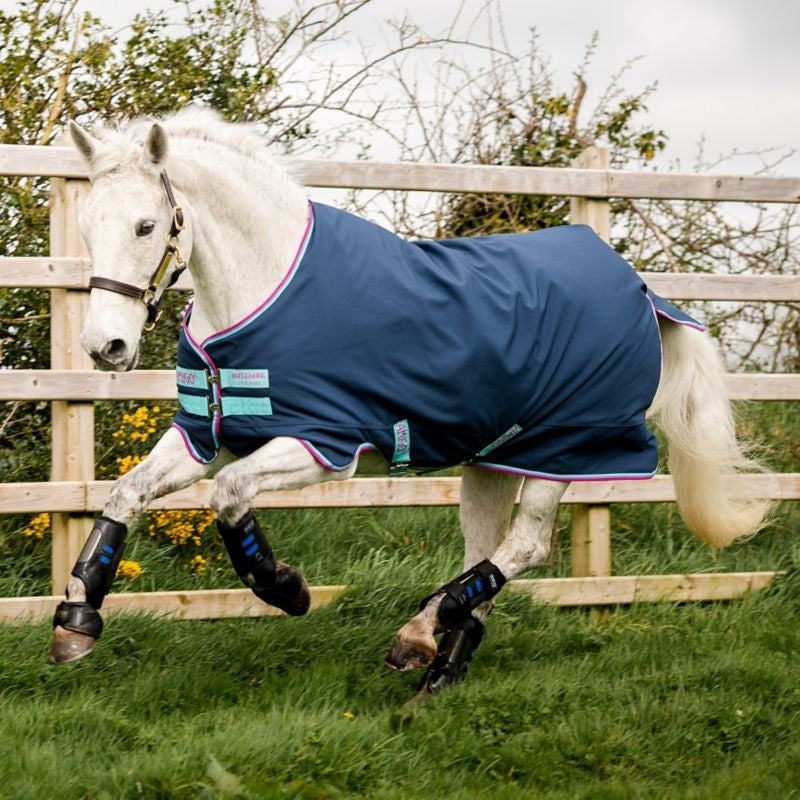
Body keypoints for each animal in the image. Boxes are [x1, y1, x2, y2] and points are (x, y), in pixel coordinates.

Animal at [49, 108, 770, 694]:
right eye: (87, 225)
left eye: (146, 225)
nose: (106, 346)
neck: (264, 290)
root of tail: (644, 292)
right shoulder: (205, 434)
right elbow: (125, 493)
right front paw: (75, 621)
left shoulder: (324, 445)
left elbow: (229, 497)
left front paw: (286, 589)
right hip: (492, 461)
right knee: (487, 552)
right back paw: (439, 665)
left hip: (566, 451)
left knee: (526, 547)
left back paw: (418, 633)